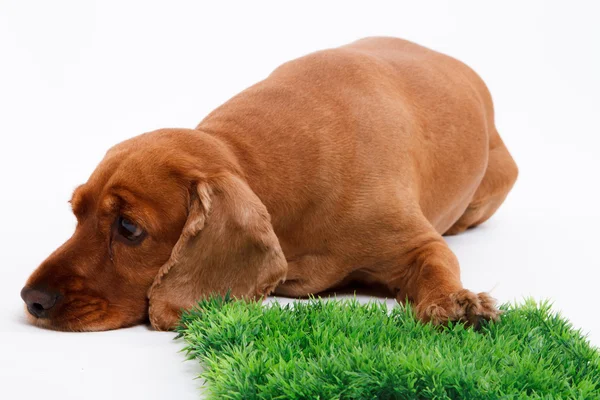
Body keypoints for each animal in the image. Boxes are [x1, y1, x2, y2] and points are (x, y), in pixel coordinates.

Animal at [19, 37, 516, 332]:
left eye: (128, 228)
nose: (31, 299)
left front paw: (456, 303)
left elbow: (437, 264)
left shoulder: (416, 242)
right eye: (76, 212)